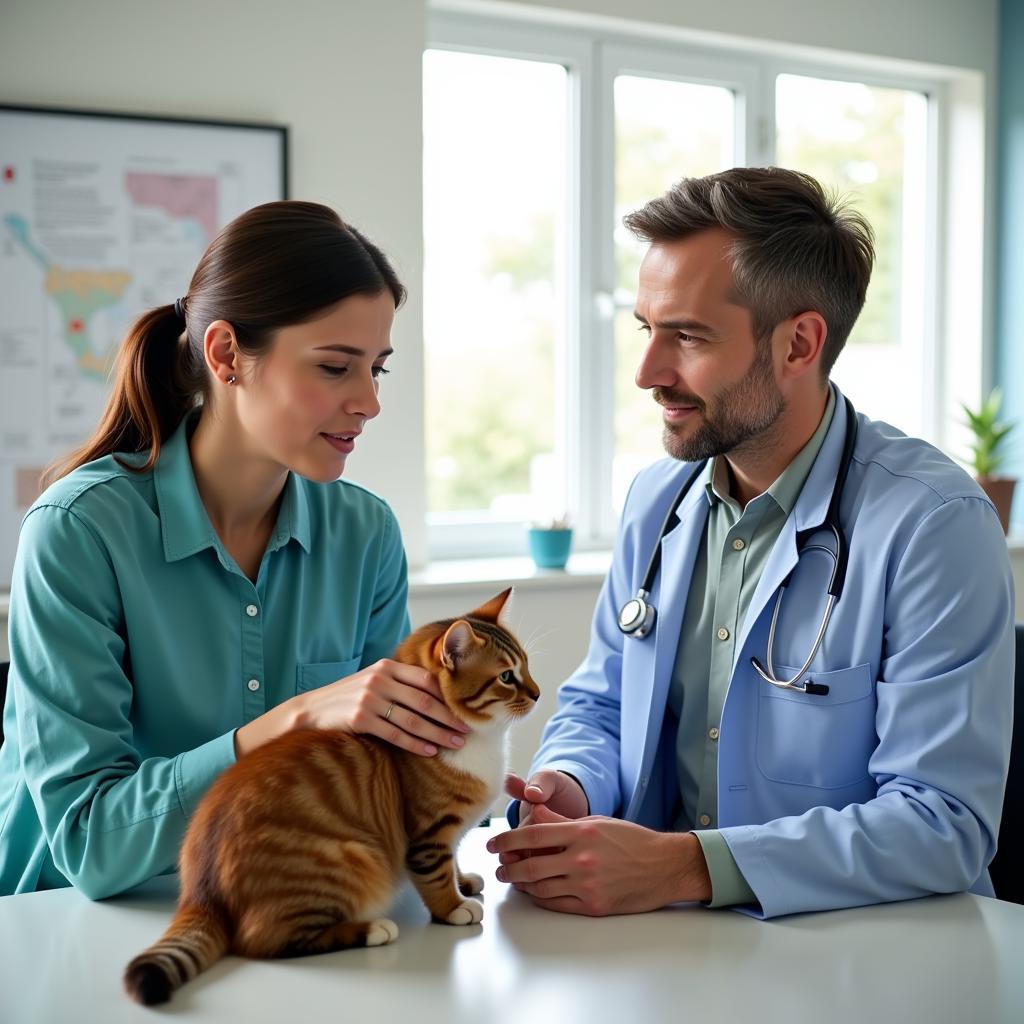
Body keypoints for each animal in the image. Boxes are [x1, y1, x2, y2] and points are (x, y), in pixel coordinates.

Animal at [124, 589, 540, 1003]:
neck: (483, 742)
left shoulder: (446, 835)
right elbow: (436, 874)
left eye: (527, 665)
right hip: (351, 859)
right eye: (506, 676)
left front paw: (464, 880)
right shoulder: (429, 832)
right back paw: (372, 930)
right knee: (262, 940)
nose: (537, 694)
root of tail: (201, 891)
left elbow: (452, 861)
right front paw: (453, 907)